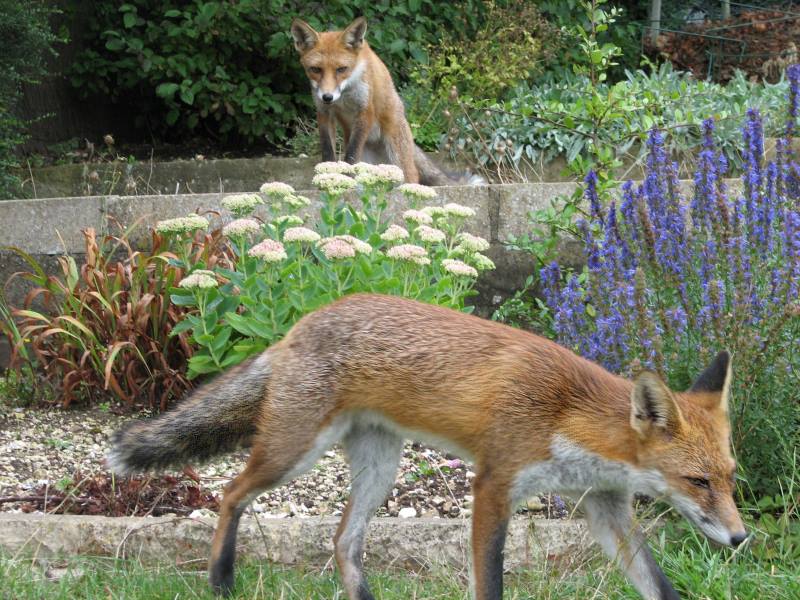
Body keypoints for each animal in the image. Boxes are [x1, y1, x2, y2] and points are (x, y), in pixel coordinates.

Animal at [109, 292, 748, 596]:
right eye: (697, 481)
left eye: (731, 477)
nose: (742, 539)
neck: (567, 414)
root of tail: (301, 322)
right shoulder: (493, 486)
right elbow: (490, 584)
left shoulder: (605, 507)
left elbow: (659, 587)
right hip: (293, 452)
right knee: (230, 492)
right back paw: (220, 581)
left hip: (379, 468)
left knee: (343, 543)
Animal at [290, 17, 478, 185]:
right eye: (315, 70)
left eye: (341, 69)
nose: (327, 96)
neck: (344, 95)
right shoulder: (324, 112)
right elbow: (328, 152)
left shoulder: (365, 109)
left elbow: (351, 153)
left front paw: (345, 178)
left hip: (398, 157)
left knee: (412, 177)